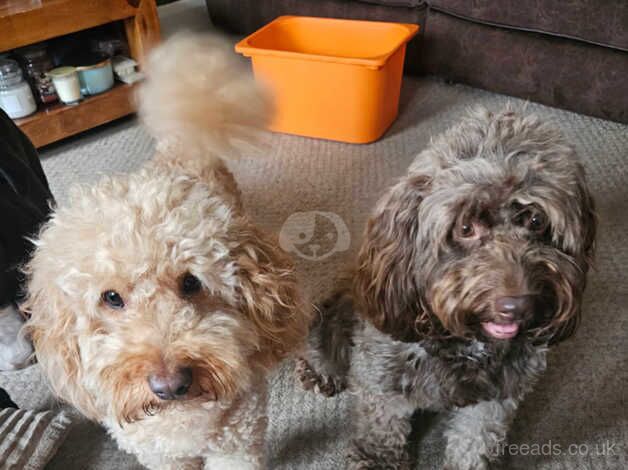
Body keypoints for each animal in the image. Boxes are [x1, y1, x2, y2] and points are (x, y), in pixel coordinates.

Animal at [23, 35, 310, 468]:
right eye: (111, 298)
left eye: (191, 283)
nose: (170, 384)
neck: (181, 418)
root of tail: (183, 140)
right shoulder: (161, 456)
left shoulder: (236, 444)